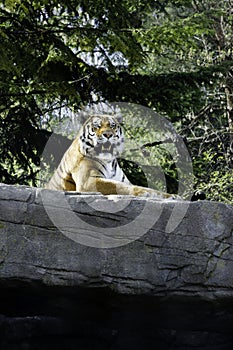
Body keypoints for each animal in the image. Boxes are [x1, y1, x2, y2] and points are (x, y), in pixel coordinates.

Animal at [45, 113, 180, 198]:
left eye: (112, 126)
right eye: (97, 126)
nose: (108, 135)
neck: (108, 160)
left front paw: (172, 195)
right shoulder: (89, 182)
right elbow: (127, 188)